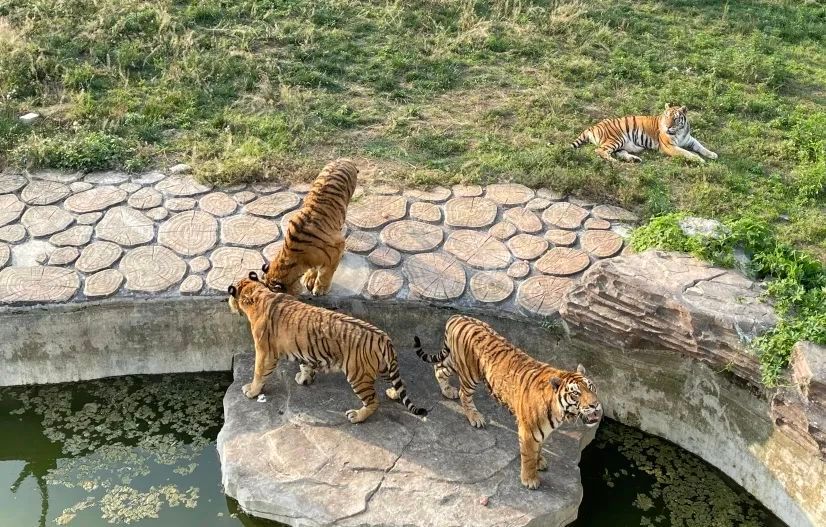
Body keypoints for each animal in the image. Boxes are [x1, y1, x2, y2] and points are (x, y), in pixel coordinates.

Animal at [229, 272, 428, 424]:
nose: (230, 306)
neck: (257, 292)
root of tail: (384, 338)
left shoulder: (265, 352)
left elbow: (259, 372)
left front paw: (251, 391)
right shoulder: (304, 348)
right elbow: (305, 365)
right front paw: (303, 378)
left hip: (358, 375)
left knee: (373, 401)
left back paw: (356, 416)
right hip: (384, 367)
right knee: (399, 383)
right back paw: (393, 393)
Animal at [416, 314, 600, 490]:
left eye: (592, 388)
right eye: (576, 394)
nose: (595, 405)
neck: (560, 412)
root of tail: (457, 317)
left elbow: (539, 449)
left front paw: (539, 461)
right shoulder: (528, 432)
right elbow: (528, 457)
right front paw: (530, 480)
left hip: (455, 361)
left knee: (439, 368)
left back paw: (447, 390)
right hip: (470, 373)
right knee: (463, 393)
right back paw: (475, 417)